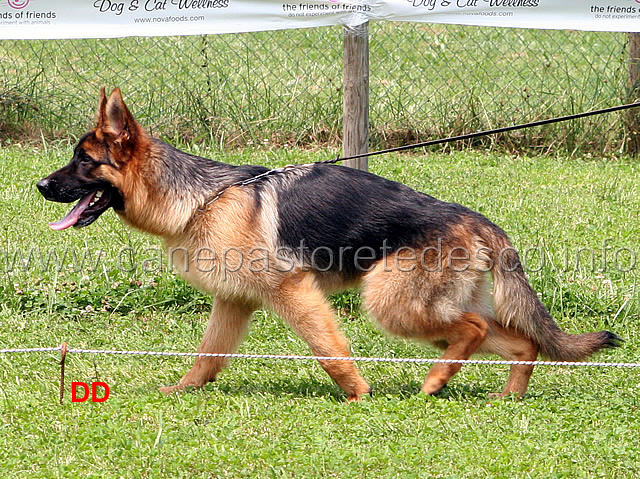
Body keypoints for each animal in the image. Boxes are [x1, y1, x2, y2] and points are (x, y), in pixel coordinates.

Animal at [37, 89, 616, 402]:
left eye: (83, 162)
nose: (39, 185)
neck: (202, 197)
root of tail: (475, 219)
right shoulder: (233, 302)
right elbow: (207, 356)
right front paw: (182, 392)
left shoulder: (293, 291)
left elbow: (330, 351)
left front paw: (358, 394)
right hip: (427, 309)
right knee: (522, 343)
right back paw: (504, 396)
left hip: (390, 303)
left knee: (473, 329)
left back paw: (433, 383)